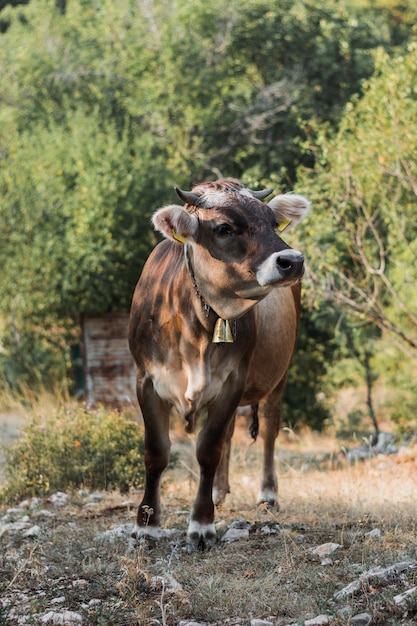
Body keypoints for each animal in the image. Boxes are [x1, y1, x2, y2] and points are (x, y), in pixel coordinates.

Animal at [127, 177, 308, 544]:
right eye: (224, 228)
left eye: (273, 222)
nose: (293, 260)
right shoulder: (146, 379)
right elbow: (156, 451)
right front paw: (147, 524)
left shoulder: (232, 381)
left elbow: (208, 448)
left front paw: (201, 524)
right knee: (228, 435)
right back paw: (218, 491)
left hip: (279, 375)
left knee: (269, 427)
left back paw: (267, 495)